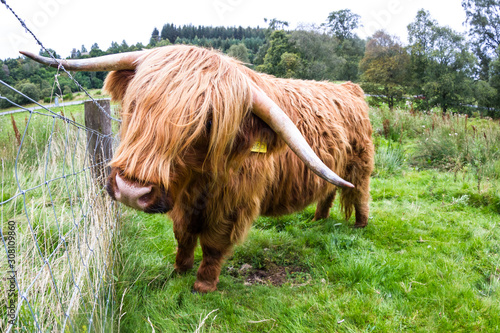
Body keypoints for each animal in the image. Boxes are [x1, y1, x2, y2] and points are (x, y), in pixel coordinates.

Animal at [24, 45, 376, 292]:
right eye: (136, 103)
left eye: (205, 124)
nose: (131, 191)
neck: (199, 184)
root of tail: (349, 88)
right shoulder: (181, 200)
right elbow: (183, 236)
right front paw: (179, 270)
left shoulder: (232, 205)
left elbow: (214, 244)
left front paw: (203, 284)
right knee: (327, 191)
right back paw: (318, 219)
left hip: (360, 165)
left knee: (359, 193)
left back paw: (360, 226)